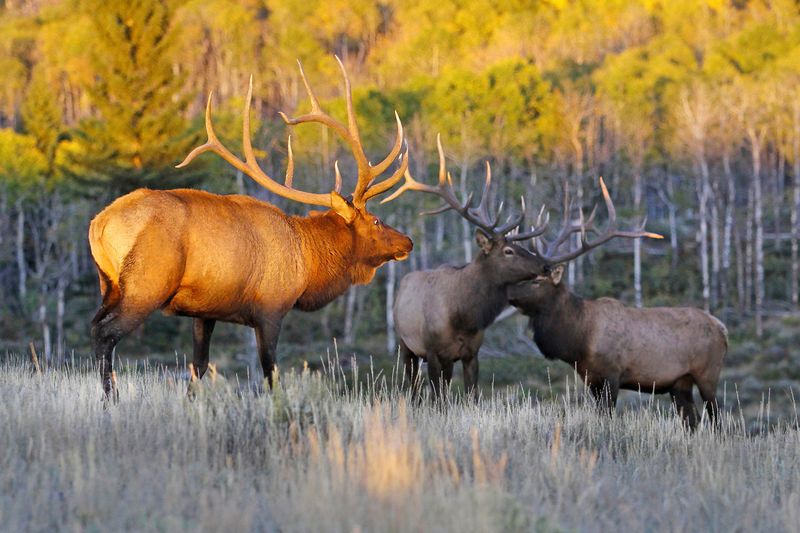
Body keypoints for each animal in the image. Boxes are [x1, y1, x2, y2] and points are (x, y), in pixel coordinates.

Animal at [89, 58, 412, 400]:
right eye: (376, 220)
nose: (408, 241)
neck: (308, 262)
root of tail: (99, 224)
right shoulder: (271, 309)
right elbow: (271, 373)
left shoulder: (205, 310)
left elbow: (198, 366)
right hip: (145, 285)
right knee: (106, 333)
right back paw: (111, 399)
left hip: (108, 285)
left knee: (95, 326)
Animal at [382, 135, 548, 396]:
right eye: (508, 251)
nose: (545, 266)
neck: (463, 316)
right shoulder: (433, 351)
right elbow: (437, 397)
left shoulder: (471, 354)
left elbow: (471, 394)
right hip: (405, 345)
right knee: (414, 387)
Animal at [510, 179, 728, 428]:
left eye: (537, 281)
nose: (508, 291)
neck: (580, 338)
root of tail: (723, 329)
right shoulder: (591, 379)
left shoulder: (612, 374)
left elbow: (608, 416)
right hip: (680, 383)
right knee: (692, 421)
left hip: (708, 373)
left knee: (717, 419)